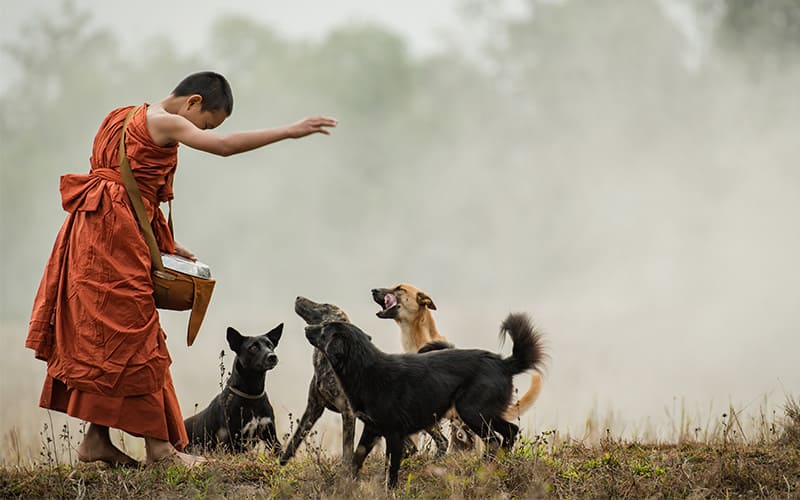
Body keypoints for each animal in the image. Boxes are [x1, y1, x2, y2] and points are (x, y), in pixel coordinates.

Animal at [183, 324, 282, 454]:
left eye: (270, 345)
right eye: (253, 347)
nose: (273, 356)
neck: (252, 396)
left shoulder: (270, 434)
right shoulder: (231, 440)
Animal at [280, 296, 358, 464]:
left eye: (325, 305)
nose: (298, 297)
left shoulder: (348, 413)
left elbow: (347, 450)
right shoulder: (313, 407)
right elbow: (294, 441)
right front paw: (280, 464)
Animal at [304, 312, 548, 488]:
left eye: (325, 329)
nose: (307, 328)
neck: (365, 369)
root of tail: (504, 363)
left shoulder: (394, 434)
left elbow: (391, 469)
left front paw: (390, 490)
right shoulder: (372, 429)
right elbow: (357, 457)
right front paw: (347, 484)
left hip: (471, 411)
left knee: (497, 439)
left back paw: (485, 468)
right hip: (482, 413)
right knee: (511, 431)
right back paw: (498, 465)